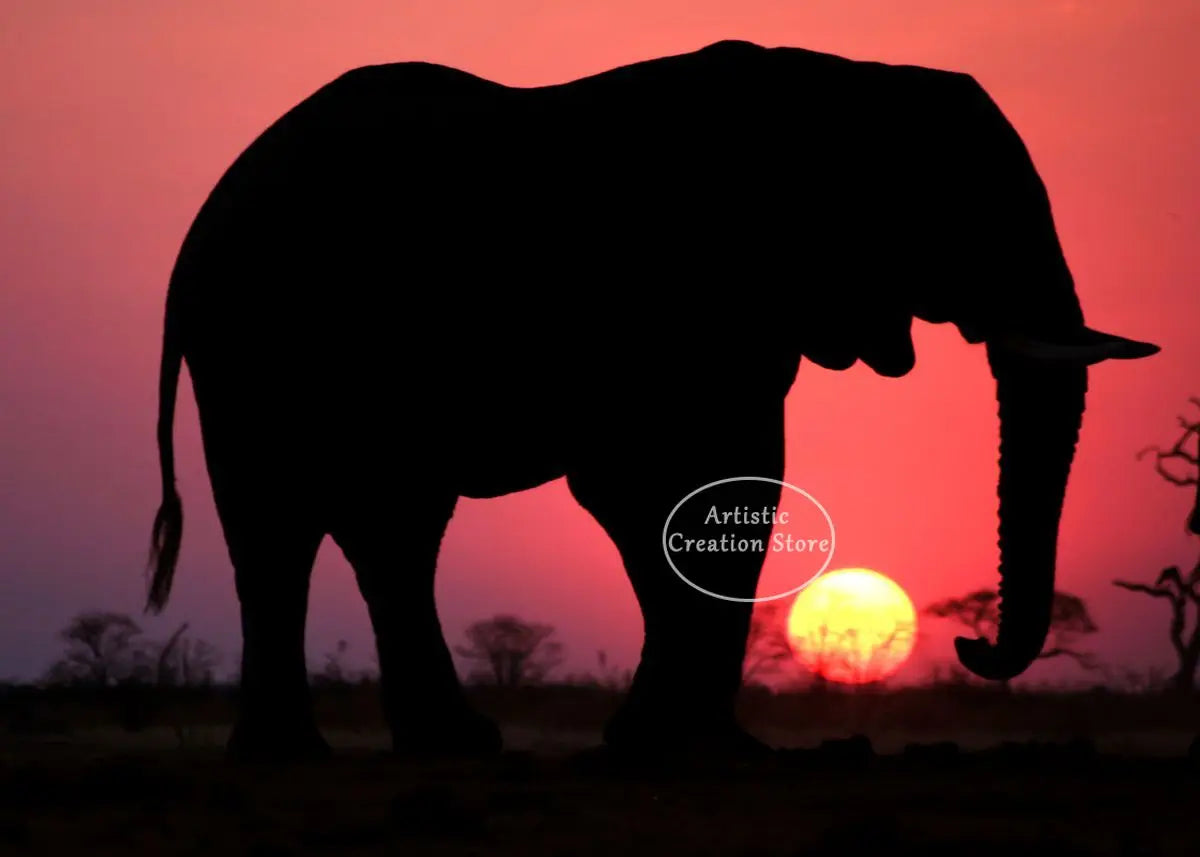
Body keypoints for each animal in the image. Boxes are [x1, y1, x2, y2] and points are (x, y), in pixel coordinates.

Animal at [146, 39, 1159, 760]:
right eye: (961, 208)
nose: (971, 647)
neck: (841, 81)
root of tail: (199, 222)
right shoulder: (671, 291)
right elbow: (662, 483)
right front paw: (683, 745)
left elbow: (737, 476)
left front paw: (696, 744)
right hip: (257, 340)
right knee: (280, 520)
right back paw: (300, 754)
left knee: (387, 524)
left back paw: (438, 745)